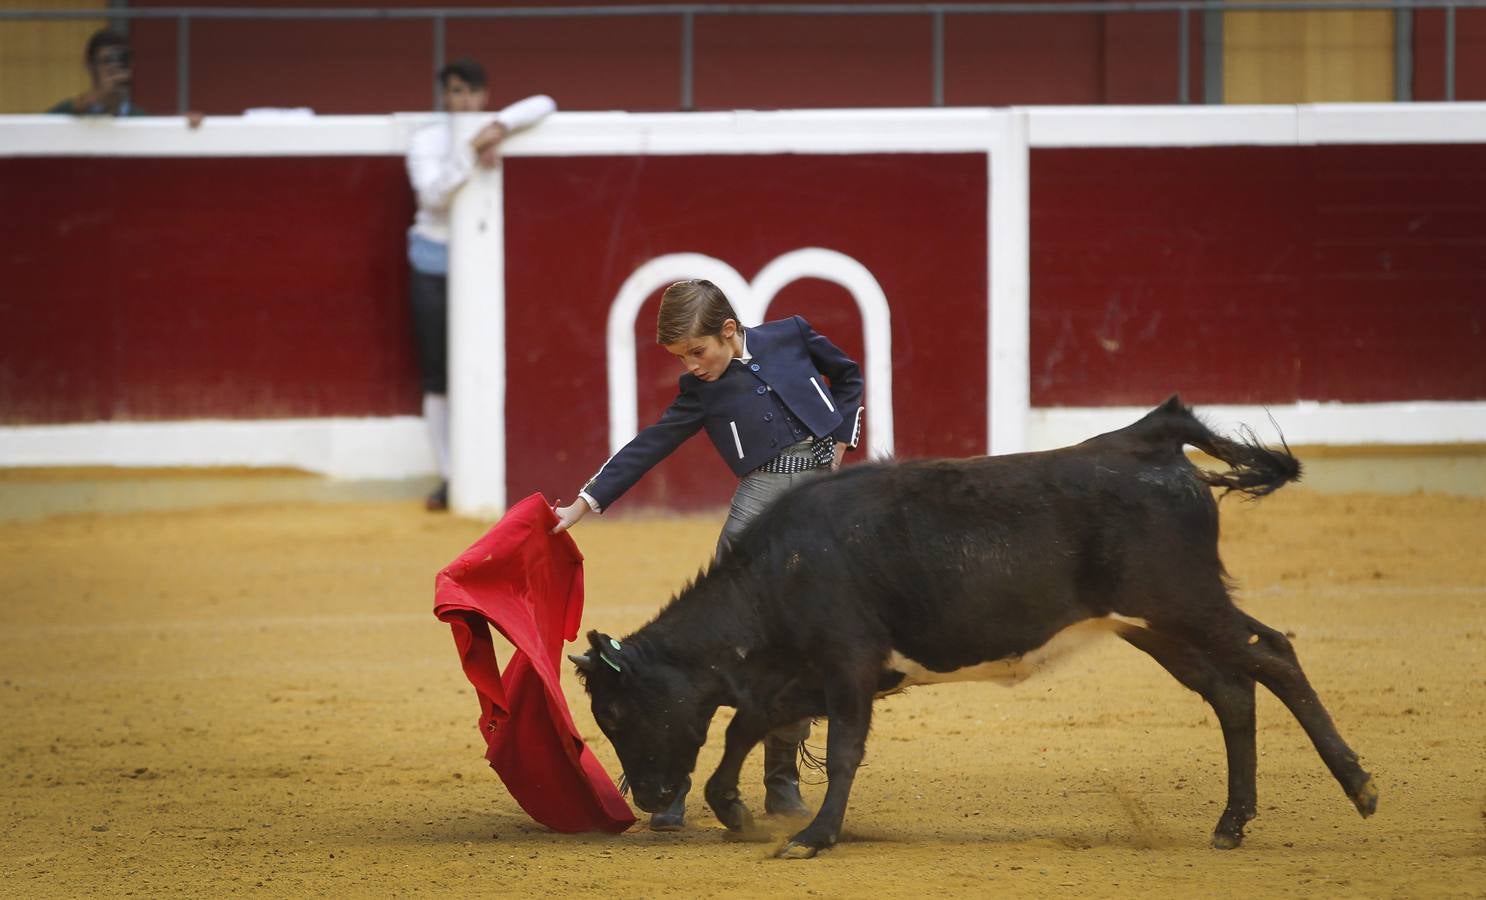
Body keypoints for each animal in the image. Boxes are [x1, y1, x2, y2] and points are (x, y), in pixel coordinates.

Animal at [564, 400, 1367, 861]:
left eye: (616, 712)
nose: (645, 798)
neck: (778, 572)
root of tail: (1148, 440)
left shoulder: (847, 665)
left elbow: (841, 749)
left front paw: (813, 838)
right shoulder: (803, 676)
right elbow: (744, 727)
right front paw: (734, 807)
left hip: (1185, 602)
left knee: (1275, 654)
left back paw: (1359, 787)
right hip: (1155, 624)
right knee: (1232, 690)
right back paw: (1231, 823)